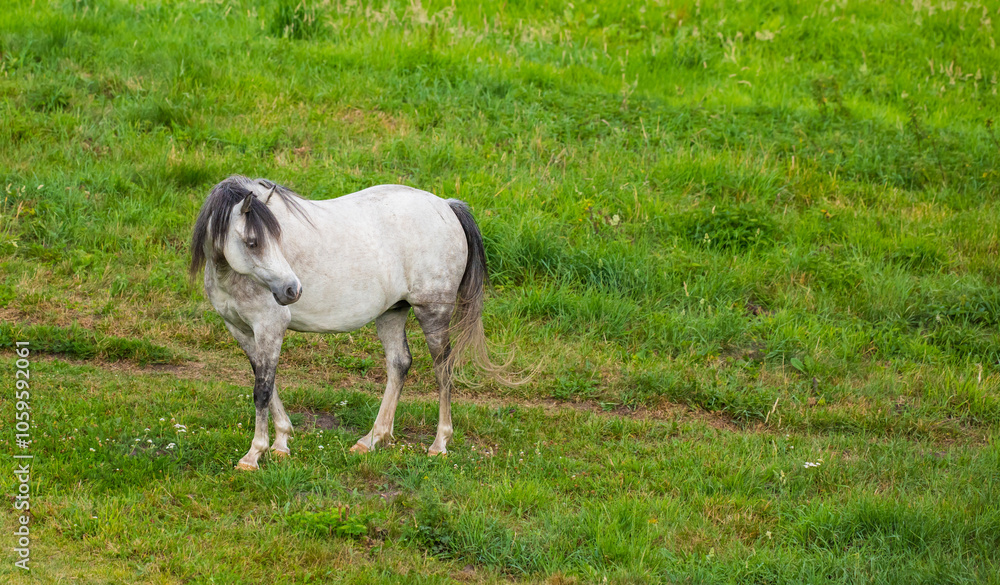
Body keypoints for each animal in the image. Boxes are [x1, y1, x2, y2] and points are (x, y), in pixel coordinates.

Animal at [190, 175, 498, 470]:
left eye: (277, 239)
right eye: (253, 242)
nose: (292, 290)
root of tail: (446, 205)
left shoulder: (269, 327)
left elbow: (262, 390)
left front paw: (254, 454)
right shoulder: (240, 330)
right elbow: (265, 381)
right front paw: (281, 442)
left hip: (433, 312)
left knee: (443, 368)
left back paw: (439, 443)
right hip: (392, 312)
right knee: (399, 364)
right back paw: (373, 439)